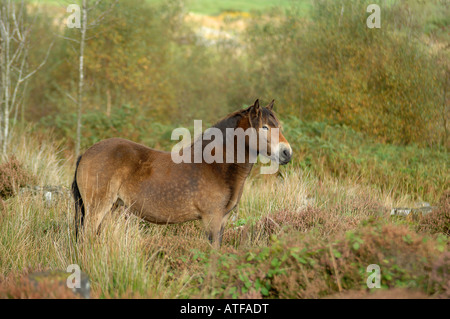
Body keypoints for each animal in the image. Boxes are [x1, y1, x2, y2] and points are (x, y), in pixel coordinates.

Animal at [72, 99, 294, 248]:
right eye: (264, 127)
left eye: (279, 126)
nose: (287, 153)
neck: (216, 165)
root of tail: (87, 153)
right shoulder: (212, 220)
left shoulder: (222, 220)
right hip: (97, 208)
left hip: (111, 208)